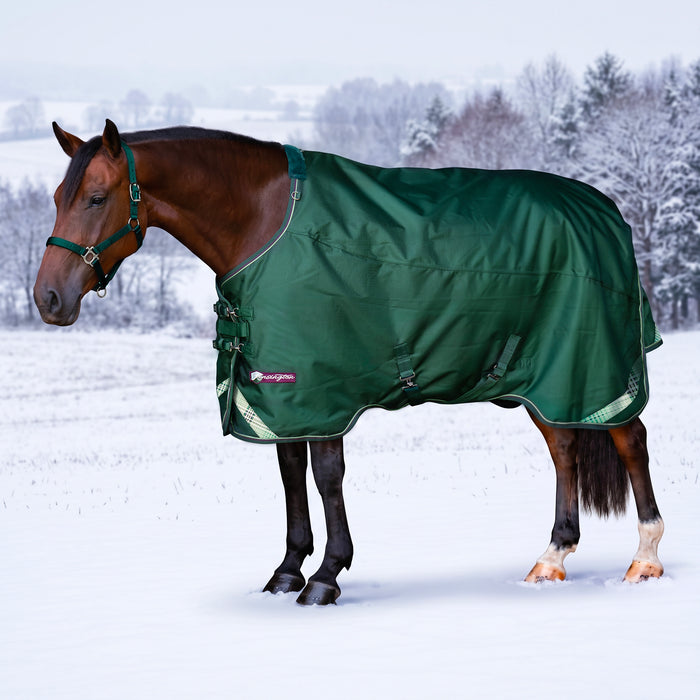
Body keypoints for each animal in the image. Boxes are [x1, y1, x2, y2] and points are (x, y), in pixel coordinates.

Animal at [34, 119, 665, 605]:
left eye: (96, 198)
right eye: (58, 198)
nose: (47, 299)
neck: (264, 221)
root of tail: (607, 209)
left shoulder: (325, 386)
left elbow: (326, 477)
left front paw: (326, 577)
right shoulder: (280, 391)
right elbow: (290, 475)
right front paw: (286, 573)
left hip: (596, 368)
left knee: (629, 438)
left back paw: (644, 560)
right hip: (544, 377)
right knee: (564, 446)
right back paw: (552, 558)